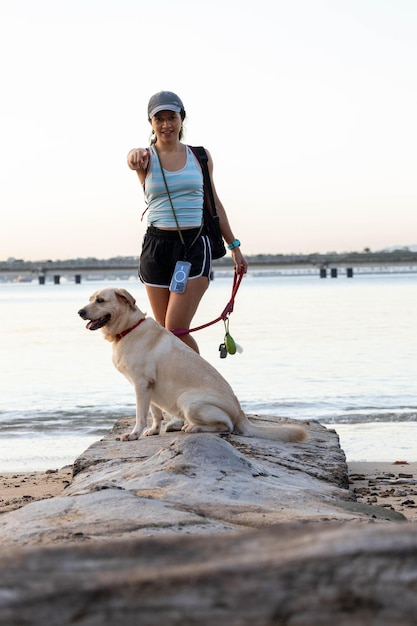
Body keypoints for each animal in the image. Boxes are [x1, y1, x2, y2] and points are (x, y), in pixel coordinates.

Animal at [77, 286, 306, 442]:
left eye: (100, 300)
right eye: (90, 299)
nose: (80, 312)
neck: (128, 328)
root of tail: (241, 414)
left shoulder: (141, 384)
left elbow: (140, 415)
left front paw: (134, 434)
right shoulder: (148, 387)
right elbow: (155, 413)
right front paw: (153, 430)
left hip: (188, 400)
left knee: (227, 426)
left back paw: (193, 428)